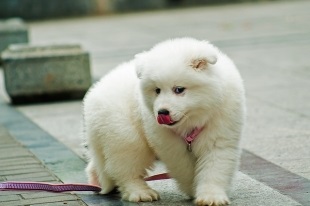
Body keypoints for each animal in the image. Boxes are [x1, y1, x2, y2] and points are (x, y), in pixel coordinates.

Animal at [83, 37, 246, 205]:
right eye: (157, 90)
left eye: (179, 89)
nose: (162, 112)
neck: (193, 120)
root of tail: (94, 92)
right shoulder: (169, 145)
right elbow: (185, 168)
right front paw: (192, 189)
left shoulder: (220, 135)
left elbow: (214, 168)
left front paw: (211, 196)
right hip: (125, 135)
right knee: (125, 168)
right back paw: (140, 192)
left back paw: (97, 181)